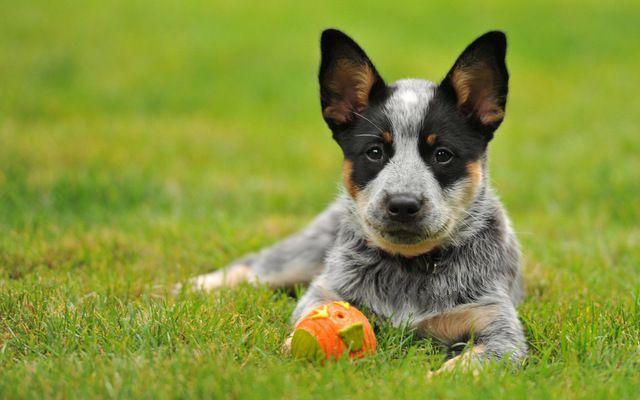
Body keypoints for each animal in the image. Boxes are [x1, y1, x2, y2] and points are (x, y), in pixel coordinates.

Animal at [189, 28, 524, 372]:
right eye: (374, 152)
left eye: (442, 154)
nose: (403, 204)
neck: (409, 268)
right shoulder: (325, 292)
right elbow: (303, 325)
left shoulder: (498, 328)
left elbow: (472, 364)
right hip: (304, 254)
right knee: (254, 266)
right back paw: (197, 286)